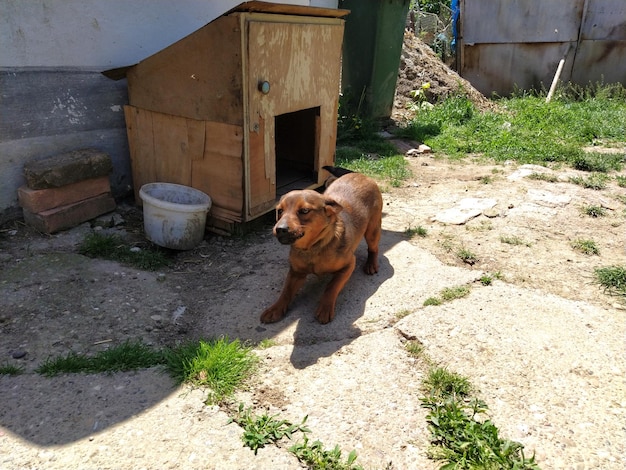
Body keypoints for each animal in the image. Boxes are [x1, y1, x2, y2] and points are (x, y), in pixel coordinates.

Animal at [258, 167, 380, 324]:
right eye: (279, 211)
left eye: (304, 211)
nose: (280, 229)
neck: (312, 248)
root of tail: (358, 174)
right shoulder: (296, 273)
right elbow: (286, 291)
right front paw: (276, 309)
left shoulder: (349, 266)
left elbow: (331, 287)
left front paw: (325, 308)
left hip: (372, 231)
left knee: (374, 248)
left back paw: (371, 264)